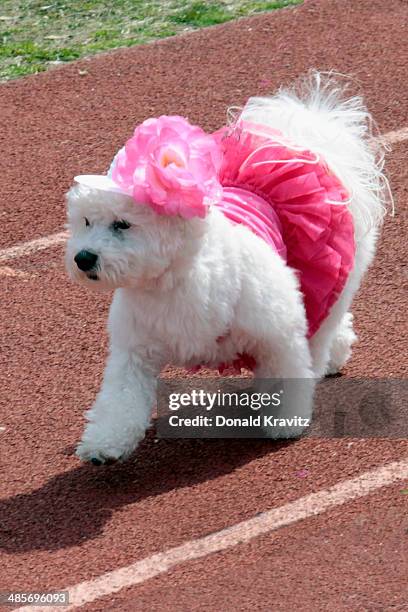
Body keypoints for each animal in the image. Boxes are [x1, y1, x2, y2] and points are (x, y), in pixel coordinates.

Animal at [66, 73, 388, 464]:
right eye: (85, 222)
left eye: (122, 225)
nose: (84, 257)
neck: (173, 281)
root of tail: (305, 138)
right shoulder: (134, 351)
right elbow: (121, 399)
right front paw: (105, 443)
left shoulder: (277, 334)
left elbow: (286, 371)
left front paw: (286, 421)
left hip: (333, 275)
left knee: (323, 327)